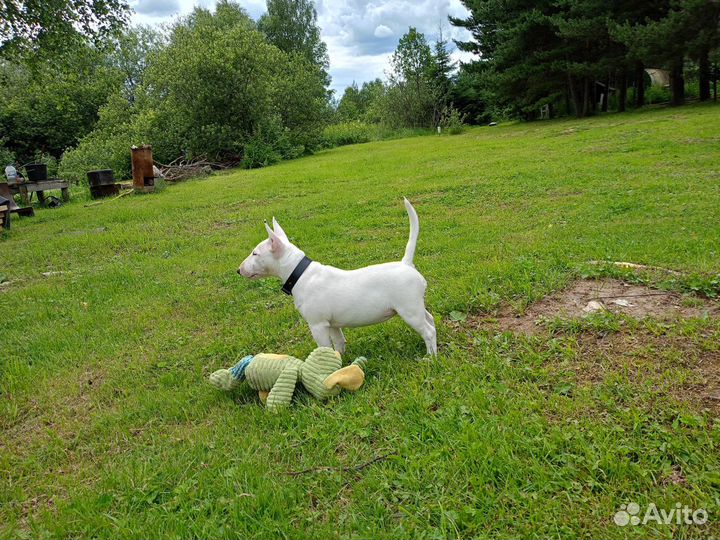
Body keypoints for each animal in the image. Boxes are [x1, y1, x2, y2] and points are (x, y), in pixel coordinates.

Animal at [239, 197, 436, 354]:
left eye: (255, 253)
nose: (238, 270)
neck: (300, 273)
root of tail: (406, 263)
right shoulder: (333, 324)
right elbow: (339, 343)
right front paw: (339, 363)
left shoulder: (317, 325)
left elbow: (323, 348)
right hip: (415, 306)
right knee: (430, 319)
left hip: (408, 309)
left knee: (428, 331)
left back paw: (430, 357)